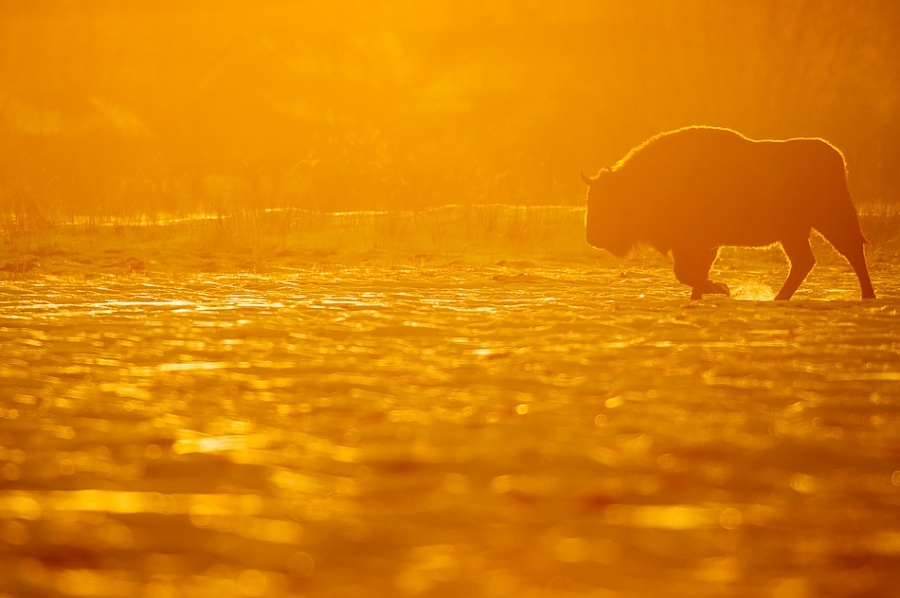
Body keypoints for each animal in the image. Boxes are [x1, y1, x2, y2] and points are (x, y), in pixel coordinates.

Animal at [582, 126, 876, 300]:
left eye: (605, 202)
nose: (592, 237)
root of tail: (836, 156)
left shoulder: (692, 243)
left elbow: (687, 273)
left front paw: (721, 289)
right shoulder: (704, 245)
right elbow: (692, 273)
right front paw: (706, 293)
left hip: (828, 221)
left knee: (849, 252)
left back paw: (866, 296)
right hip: (796, 233)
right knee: (807, 261)